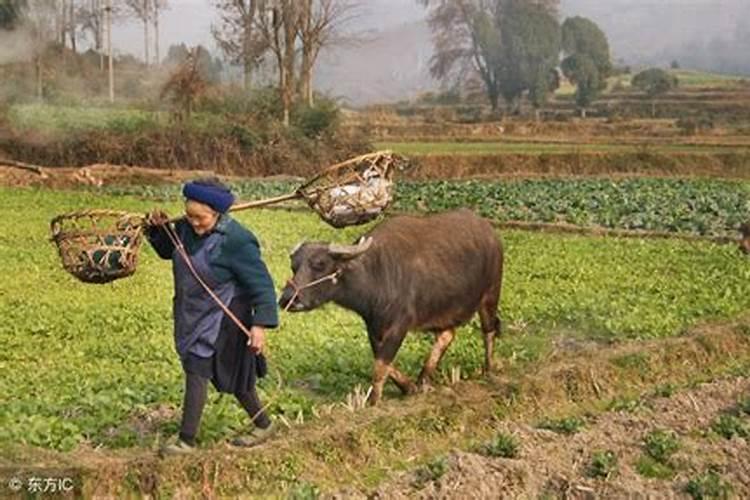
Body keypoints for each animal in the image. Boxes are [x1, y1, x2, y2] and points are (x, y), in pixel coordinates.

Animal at [280, 209, 506, 404]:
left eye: (320, 264)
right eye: (294, 266)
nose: (287, 299)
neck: (377, 275)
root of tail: (490, 232)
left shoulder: (399, 325)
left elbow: (381, 365)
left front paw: (373, 401)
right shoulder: (373, 326)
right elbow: (383, 361)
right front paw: (409, 388)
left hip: (490, 294)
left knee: (488, 331)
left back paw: (489, 370)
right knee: (447, 335)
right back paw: (423, 379)